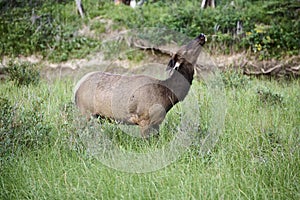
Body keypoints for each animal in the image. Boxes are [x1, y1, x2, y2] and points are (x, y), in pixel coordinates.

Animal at [74, 33, 206, 138]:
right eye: (186, 49)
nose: (201, 35)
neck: (167, 95)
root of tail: (75, 90)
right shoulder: (144, 119)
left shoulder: (156, 123)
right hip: (85, 113)